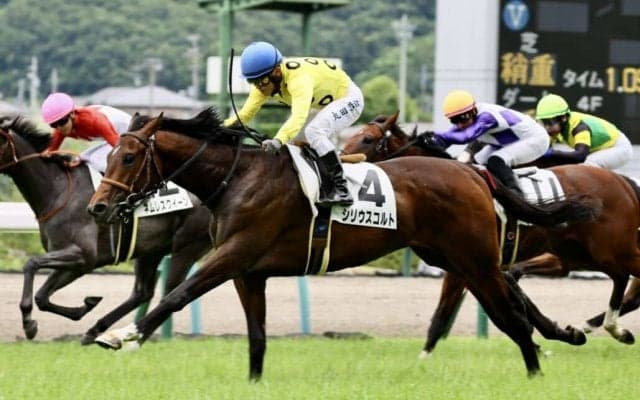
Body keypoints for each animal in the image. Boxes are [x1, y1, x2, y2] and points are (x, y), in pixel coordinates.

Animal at [0, 115, 215, 344]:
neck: (58, 191)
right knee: (142, 293)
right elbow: (42, 296)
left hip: (187, 245)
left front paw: (28, 323)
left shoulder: (83, 255)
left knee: (170, 291)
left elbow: (31, 264)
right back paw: (98, 330)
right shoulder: (76, 262)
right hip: (152, 250)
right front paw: (85, 305)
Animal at [87, 108, 600, 378]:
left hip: (473, 260)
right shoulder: (249, 272)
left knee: (510, 315)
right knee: (513, 301)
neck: (237, 179)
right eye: (108, 155)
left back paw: (538, 368)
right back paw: (562, 336)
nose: (98, 207)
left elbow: (177, 294)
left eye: (128, 157)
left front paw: (120, 335)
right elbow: (257, 338)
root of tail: (474, 174)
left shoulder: (233, 255)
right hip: (450, 256)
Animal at [342, 111, 640, 352]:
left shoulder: (469, 263)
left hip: (610, 249)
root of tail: (623, 181)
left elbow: (443, 316)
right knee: (621, 278)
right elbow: (513, 297)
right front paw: (554, 336)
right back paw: (609, 328)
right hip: (581, 253)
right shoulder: (474, 265)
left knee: (626, 278)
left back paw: (610, 327)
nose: (342, 159)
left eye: (367, 139)